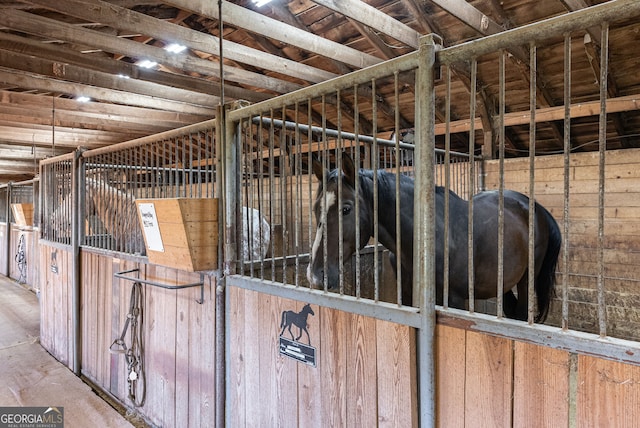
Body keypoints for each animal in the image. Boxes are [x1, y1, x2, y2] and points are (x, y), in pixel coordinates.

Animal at [306, 152, 560, 322]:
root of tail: (533, 206)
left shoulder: (454, 301)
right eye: (316, 208)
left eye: (346, 209)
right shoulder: (407, 294)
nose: (316, 275)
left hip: (527, 279)